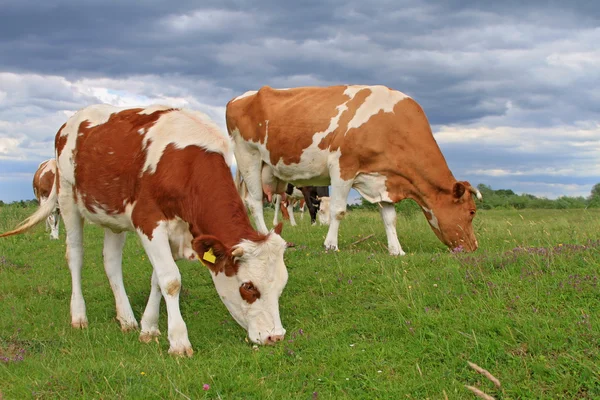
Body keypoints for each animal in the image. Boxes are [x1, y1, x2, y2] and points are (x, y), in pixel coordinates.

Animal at [0, 104, 288, 356]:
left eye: (281, 285)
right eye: (248, 287)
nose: (276, 337)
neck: (185, 163)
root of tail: (73, 119)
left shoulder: (179, 230)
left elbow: (158, 279)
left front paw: (148, 328)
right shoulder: (148, 221)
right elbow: (171, 280)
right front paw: (179, 342)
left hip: (113, 216)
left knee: (111, 262)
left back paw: (126, 318)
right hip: (68, 197)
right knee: (75, 256)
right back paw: (79, 315)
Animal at [226, 86, 482, 258]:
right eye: (471, 212)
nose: (474, 247)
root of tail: (239, 97)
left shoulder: (382, 179)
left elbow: (390, 218)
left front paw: (396, 250)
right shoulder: (342, 167)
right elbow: (338, 211)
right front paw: (331, 245)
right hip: (248, 157)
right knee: (255, 202)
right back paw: (263, 237)